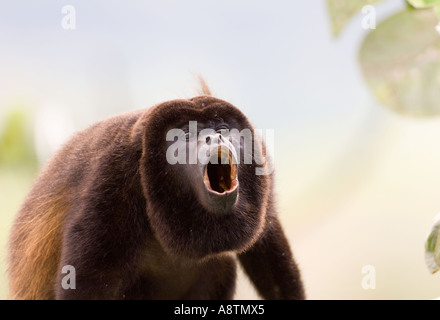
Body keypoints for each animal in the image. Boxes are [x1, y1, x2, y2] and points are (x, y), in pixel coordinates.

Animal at [9, 92, 306, 300]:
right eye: (186, 134)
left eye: (221, 129)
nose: (215, 138)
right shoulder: (112, 180)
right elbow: (87, 284)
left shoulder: (261, 160)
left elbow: (266, 247)